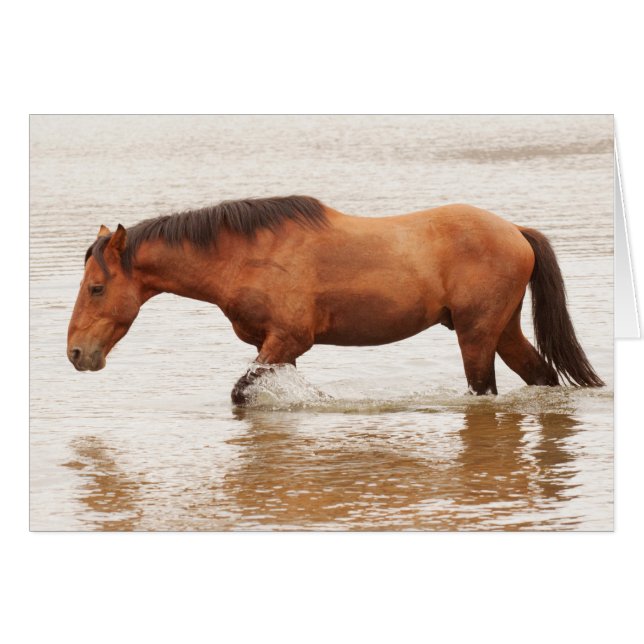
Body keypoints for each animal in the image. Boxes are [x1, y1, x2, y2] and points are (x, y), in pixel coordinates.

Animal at [67, 195, 604, 404]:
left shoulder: (287, 340)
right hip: (502, 330)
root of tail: (514, 231)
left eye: (96, 287)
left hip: (476, 336)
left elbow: (242, 394)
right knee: (542, 375)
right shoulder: (275, 348)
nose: (76, 353)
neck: (247, 255)